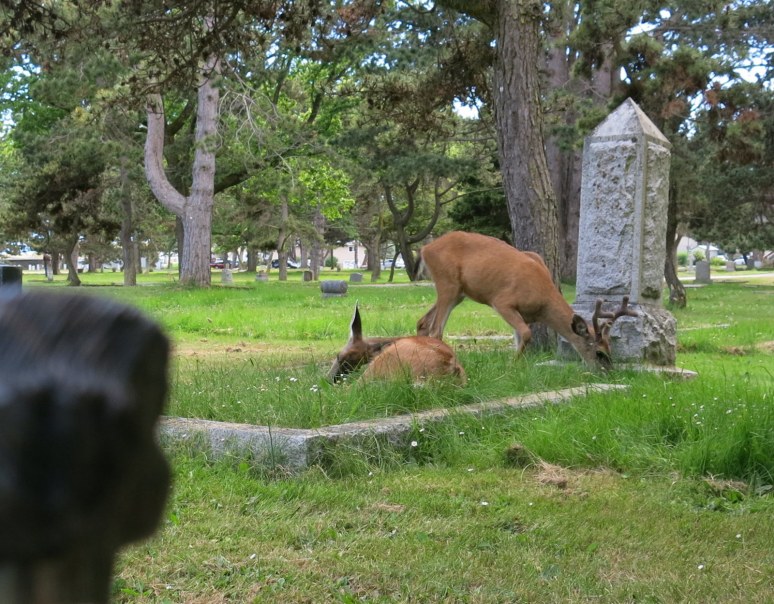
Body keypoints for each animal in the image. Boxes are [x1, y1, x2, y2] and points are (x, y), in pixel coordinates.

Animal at [415, 231, 637, 371]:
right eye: (599, 353)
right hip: (448, 283)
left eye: (610, 349)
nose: (609, 372)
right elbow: (526, 334)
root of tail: (425, 249)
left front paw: (517, 365)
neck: (543, 303)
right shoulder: (502, 301)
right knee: (436, 329)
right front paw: (511, 365)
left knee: (423, 322)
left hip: (459, 293)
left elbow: (518, 336)